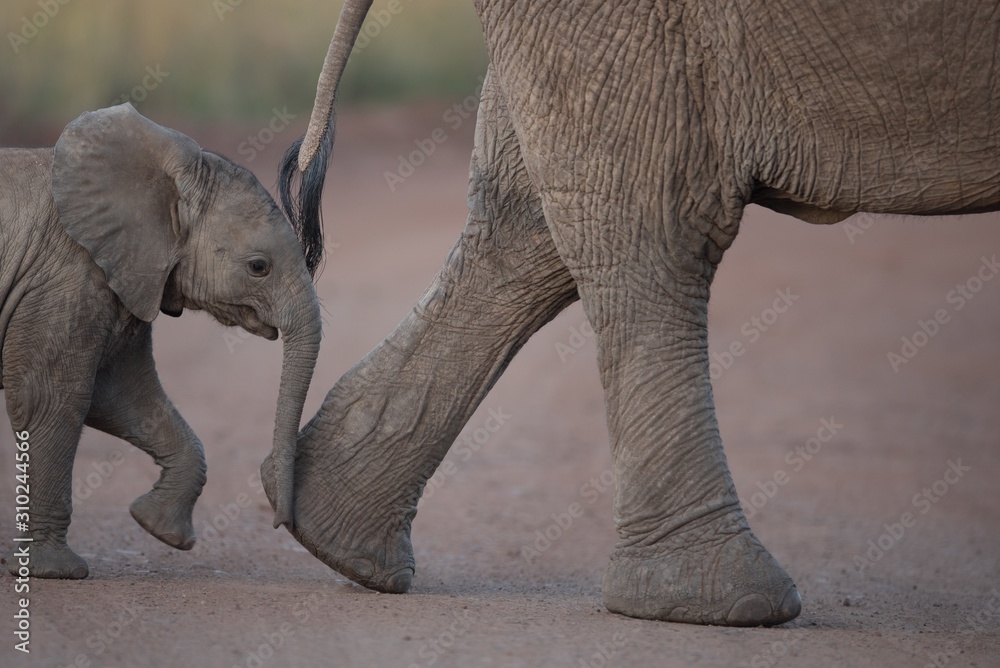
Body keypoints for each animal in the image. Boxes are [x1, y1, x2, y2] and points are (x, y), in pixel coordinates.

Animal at [0, 104, 320, 580]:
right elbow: (50, 398)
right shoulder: (65, 277)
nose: (283, 522)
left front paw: (161, 529)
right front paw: (58, 571)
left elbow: (119, 395)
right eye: (259, 267)